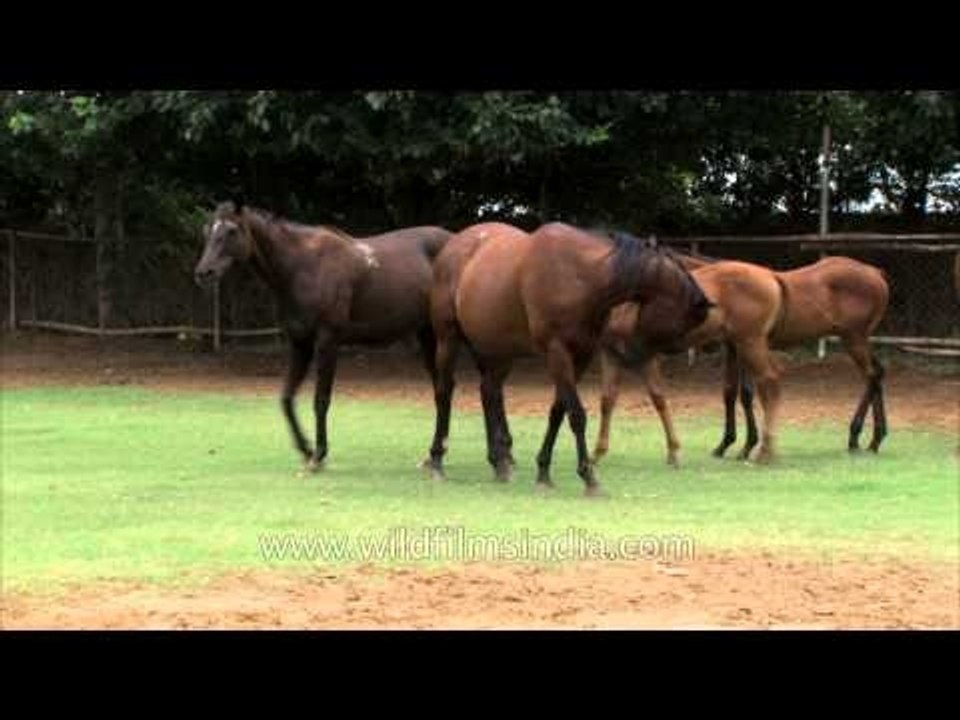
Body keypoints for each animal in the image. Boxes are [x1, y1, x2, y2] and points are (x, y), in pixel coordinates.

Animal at [194, 200, 451, 470]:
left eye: (232, 231)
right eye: (207, 230)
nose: (204, 273)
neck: (302, 268)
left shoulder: (327, 342)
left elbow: (321, 400)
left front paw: (318, 454)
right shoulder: (300, 344)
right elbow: (286, 398)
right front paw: (306, 449)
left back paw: (436, 454)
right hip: (427, 336)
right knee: (440, 390)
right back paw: (434, 453)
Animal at [422, 222, 714, 496]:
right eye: (687, 321)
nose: (635, 353)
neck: (582, 277)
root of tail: (453, 244)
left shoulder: (581, 355)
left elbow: (557, 412)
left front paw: (543, 471)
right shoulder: (558, 352)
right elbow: (576, 415)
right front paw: (589, 477)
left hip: (497, 350)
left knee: (489, 394)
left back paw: (500, 463)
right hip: (448, 338)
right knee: (444, 392)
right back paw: (436, 461)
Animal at [592, 253, 890, 465]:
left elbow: (733, 394)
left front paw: (737, 444)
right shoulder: (732, 347)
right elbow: (734, 393)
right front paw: (735, 443)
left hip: (848, 339)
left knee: (866, 377)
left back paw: (854, 438)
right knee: (877, 374)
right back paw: (873, 439)